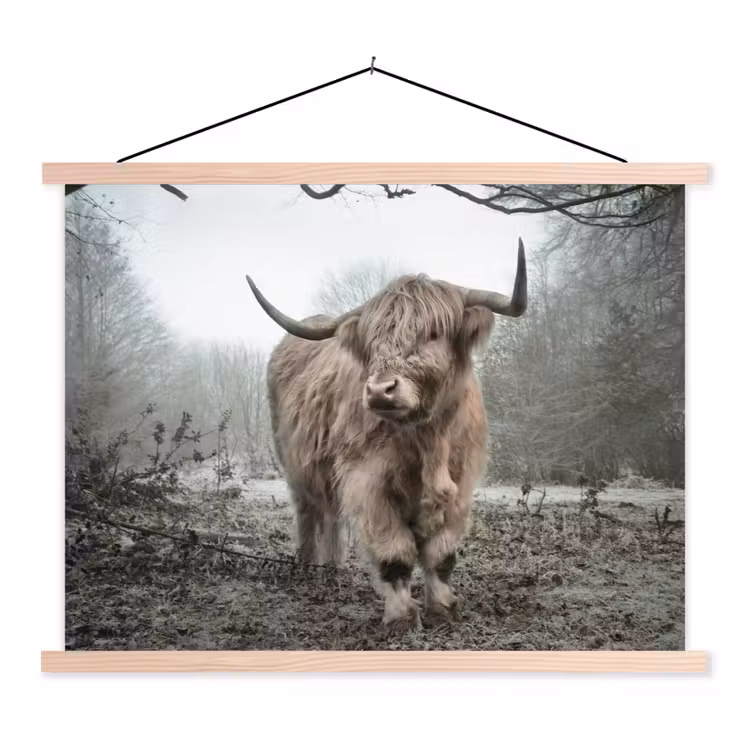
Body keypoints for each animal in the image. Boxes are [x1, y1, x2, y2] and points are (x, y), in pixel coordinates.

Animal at [245, 239, 527, 629]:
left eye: (433, 333)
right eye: (373, 341)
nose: (380, 391)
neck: (428, 440)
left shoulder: (462, 483)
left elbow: (441, 555)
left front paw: (443, 608)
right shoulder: (367, 482)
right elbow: (395, 553)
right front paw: (402, 617)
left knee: (331, 516)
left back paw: (332, 569)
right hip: (295, 467)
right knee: (308, 513)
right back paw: (308, 566)